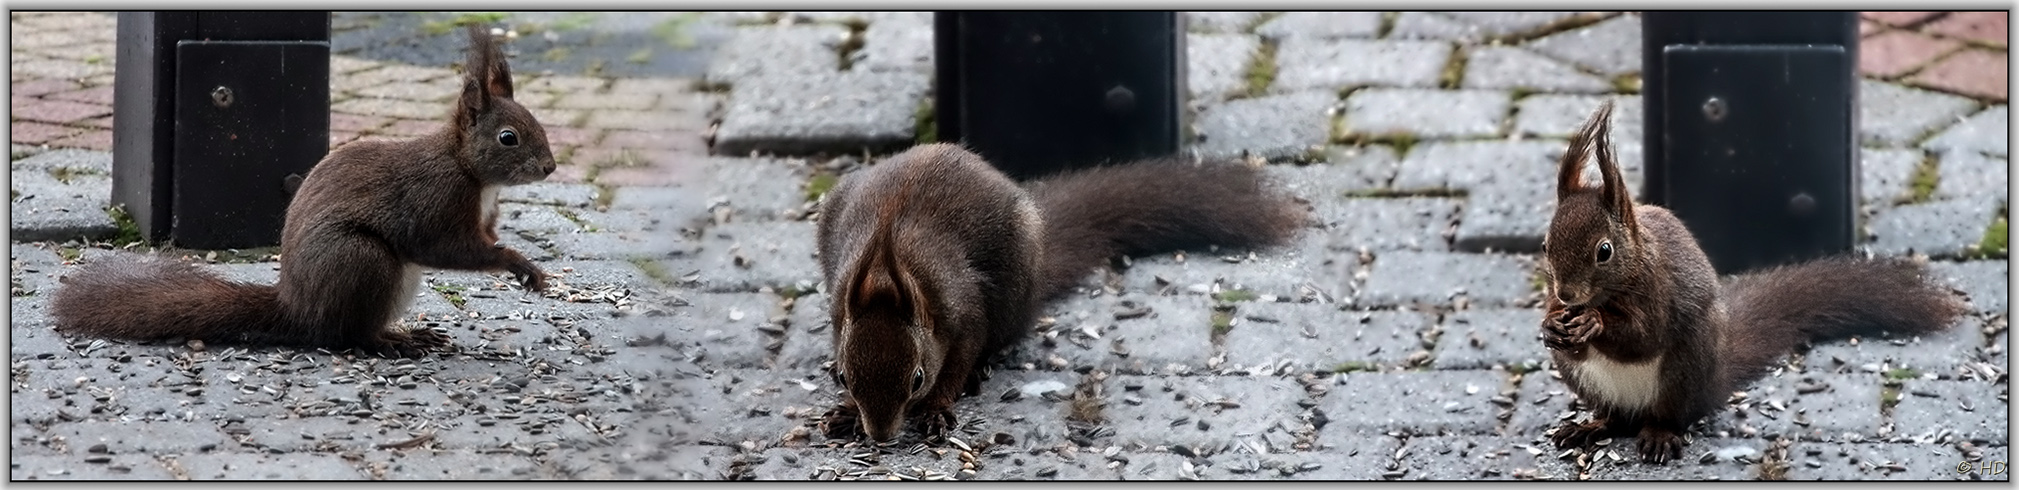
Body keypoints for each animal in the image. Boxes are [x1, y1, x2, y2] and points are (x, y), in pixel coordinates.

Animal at [52, 25, 557, 356]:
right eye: (508, 137)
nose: (550, 167)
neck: (472, 173)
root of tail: (296, 306)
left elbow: (485, 237)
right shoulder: (436, 201)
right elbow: (449, 248)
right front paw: (519, 264)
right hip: (360, 260)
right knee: (349, 336)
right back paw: (397, 341)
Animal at [819, 143, 1308, 441]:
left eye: (917, 379)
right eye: (843, 376)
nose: (881, 435)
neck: (892, 274)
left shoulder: (963, 311)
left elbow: (960, 359)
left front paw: (939, 406)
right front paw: (846, 410)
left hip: (1016, 281)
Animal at [1534, 100, 1962, 463]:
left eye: (1604, 251)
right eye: (1544, 244)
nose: (1566, 294)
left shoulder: (1660, 290)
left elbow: (1644, 336)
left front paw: (1594, 323)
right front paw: (1551, 326)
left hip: (1687, 365)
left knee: (1669, 415)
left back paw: (1659, 434)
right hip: (1588, 383)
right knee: (1615, 419)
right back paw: (1590, 426)